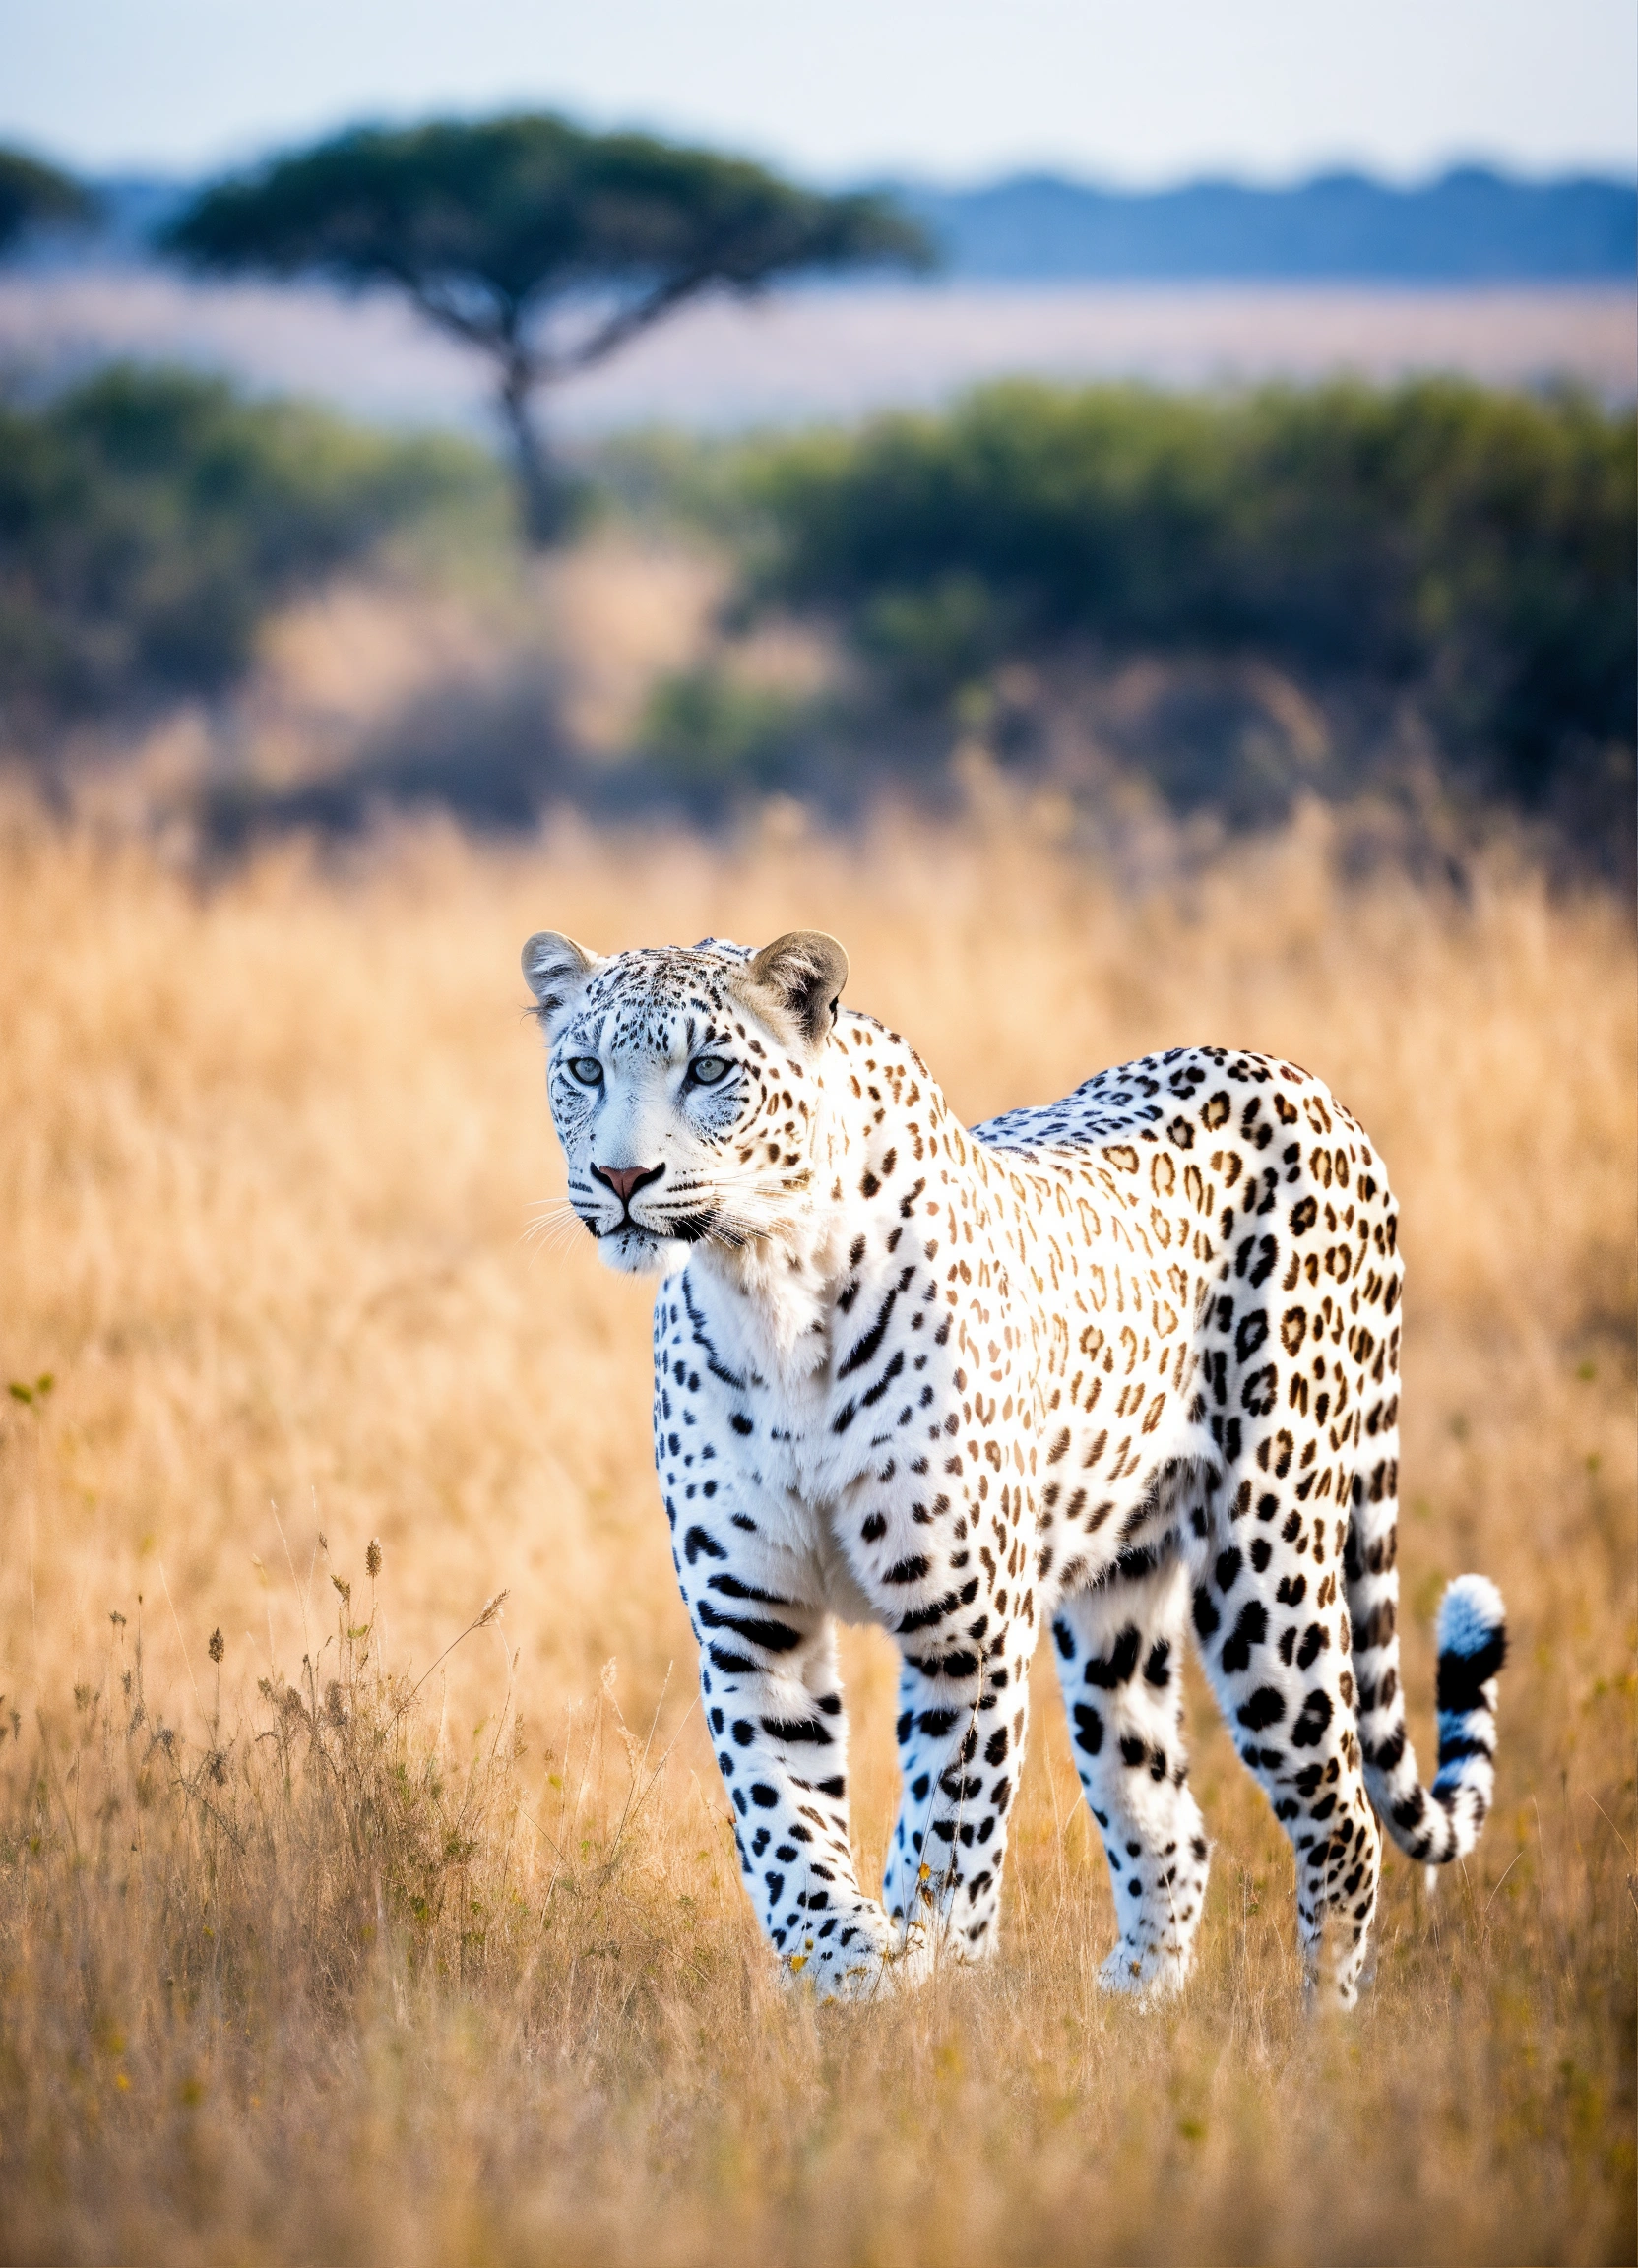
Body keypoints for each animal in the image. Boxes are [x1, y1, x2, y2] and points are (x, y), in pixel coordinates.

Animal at [522, 923, 1507, 2008]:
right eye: (583, 1068)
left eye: (708, 1071)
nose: (621, 1178)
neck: (769, 1287)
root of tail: (1304, 1083)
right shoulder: (753, 1625)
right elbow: (785, 1821)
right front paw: (847, 1968)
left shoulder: (969, 1629)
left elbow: (949, 1835)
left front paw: (925, 1981)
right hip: (1121, 1603)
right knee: (1169, 1822)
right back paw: (1130, 2011)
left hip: (1270, 1567)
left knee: (1342, 1819)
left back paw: (1317, 2026)